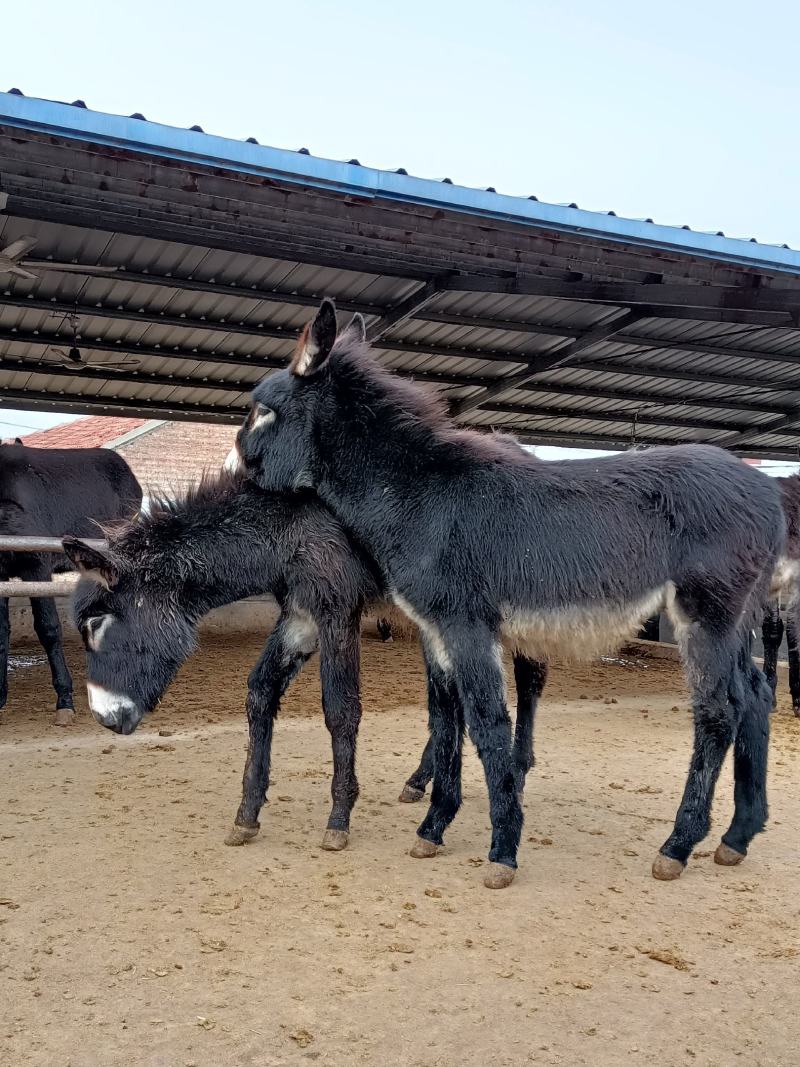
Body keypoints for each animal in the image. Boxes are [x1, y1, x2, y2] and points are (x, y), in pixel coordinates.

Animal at [65, 475, 550, 849]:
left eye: (96, 623)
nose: (103, 718)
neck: (291, 532)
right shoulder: (299, 617)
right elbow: (260, 693)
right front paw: (247, 815)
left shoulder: (337, 612)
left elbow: (340, 709)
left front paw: (339, 819)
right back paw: (420, 781)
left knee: (529, 676)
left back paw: (519, 768)